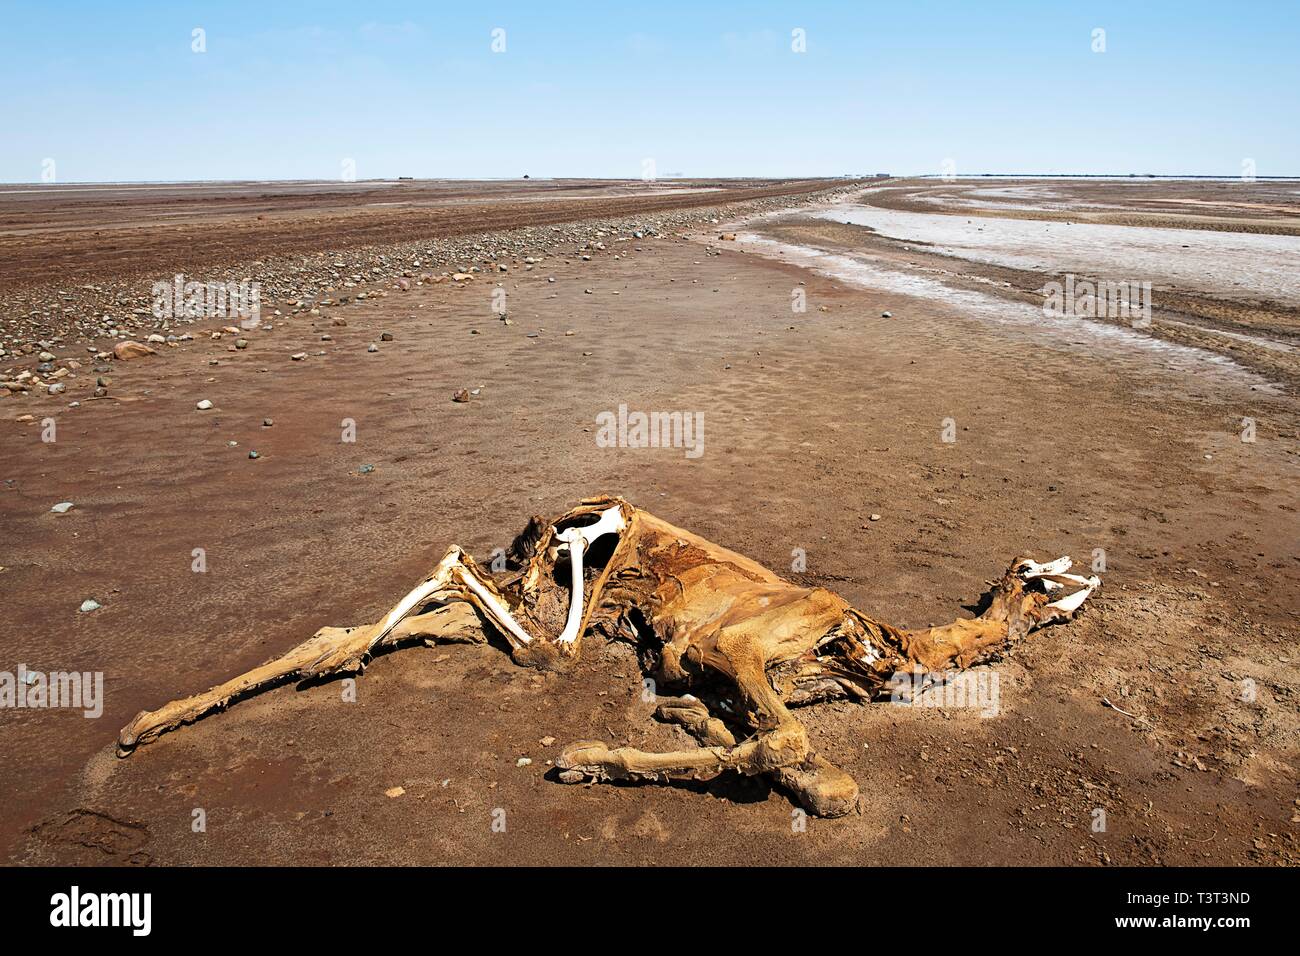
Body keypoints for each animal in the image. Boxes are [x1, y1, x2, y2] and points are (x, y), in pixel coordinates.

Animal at [117, 495, 1099, 816]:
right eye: (1042, 577)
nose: (1092, 580)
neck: (877, 644)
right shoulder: (733, 644)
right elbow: (787, 749)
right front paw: (588, 759)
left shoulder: (730, 671)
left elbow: (812, 772)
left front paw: (688, 723)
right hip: (573, 571)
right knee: (505, 616)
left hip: (529, 598)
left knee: (366, 632)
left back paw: (141, 726)